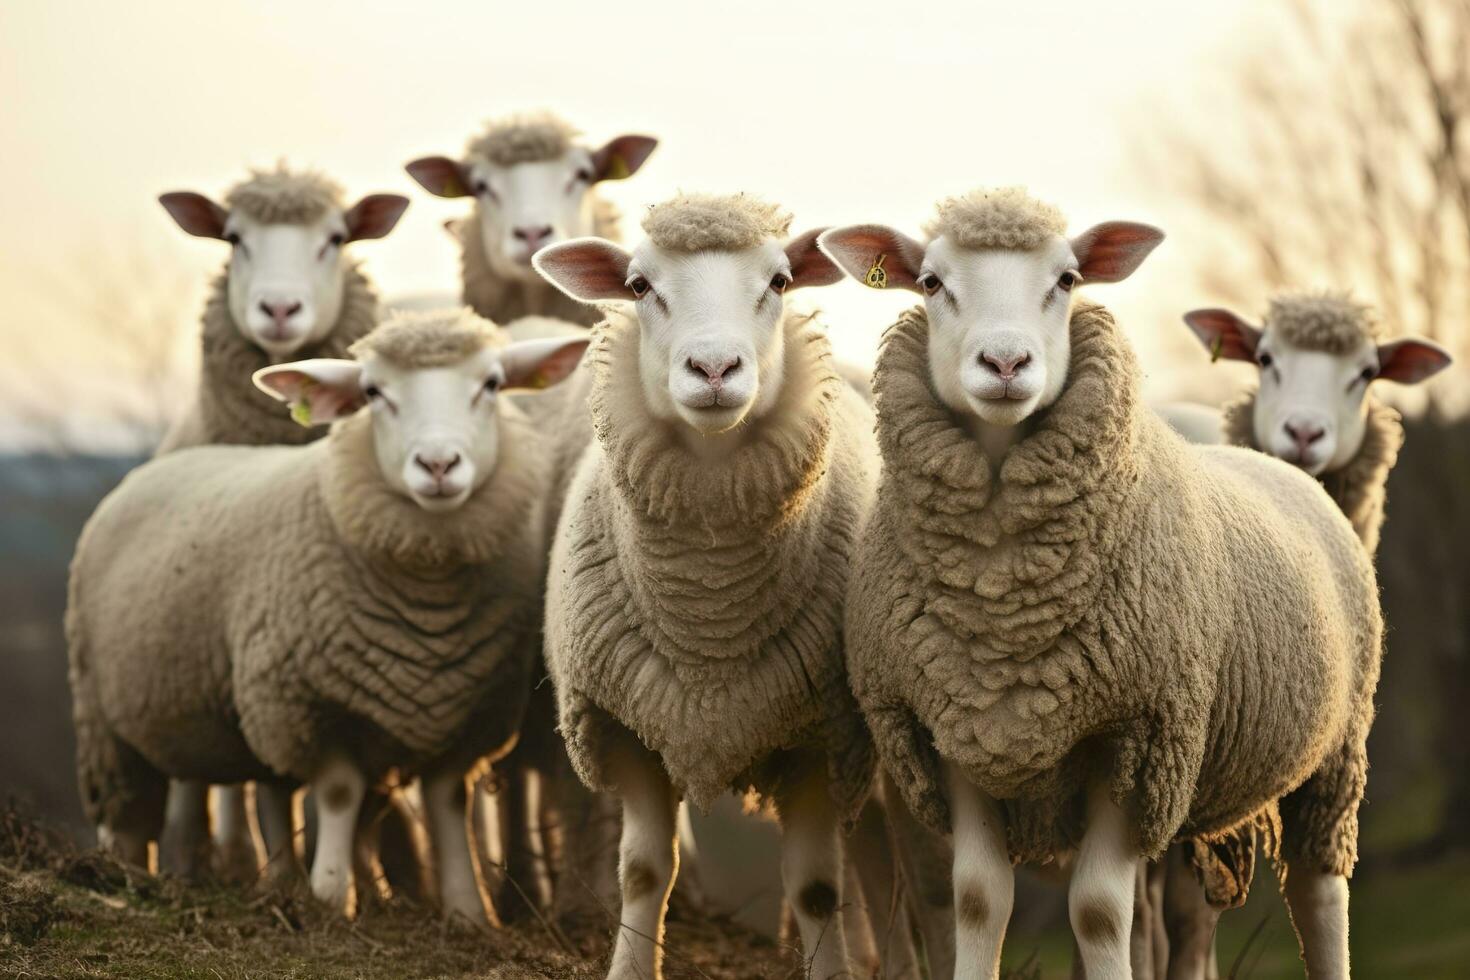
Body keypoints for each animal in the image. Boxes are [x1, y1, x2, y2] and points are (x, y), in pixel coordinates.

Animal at [66, 310, 585, 922]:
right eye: (373, 393)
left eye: (492, 384)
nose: (437, 465)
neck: (430, 604)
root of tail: (153, 469)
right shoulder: (312, 706)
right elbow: (338, 794)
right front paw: (333, 898)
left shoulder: (472, 713)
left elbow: (447, 801)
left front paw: (468, 912)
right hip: (106, 719)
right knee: (129, 815)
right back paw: (123, 875)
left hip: (227, 710)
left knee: (264, 791)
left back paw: (273, 883)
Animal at [529, 193, 870, 980]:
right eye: (638, 286)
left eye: (779, 281)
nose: (713, 367)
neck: (709, 603)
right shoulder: (625, 725)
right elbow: (644, 871)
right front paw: (629, 967)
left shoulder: (822, 734)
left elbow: (817, 886)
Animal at [823, 189, 1381, 980]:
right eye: (931, 283)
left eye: (1067, 279)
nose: (1006, 361)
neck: (1004, 604)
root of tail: (1278, 463)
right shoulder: (951, 733)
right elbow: (977, 901)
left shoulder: (1137, 738)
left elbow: (1098, 909)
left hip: (1333, 755)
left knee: (1319, 896)